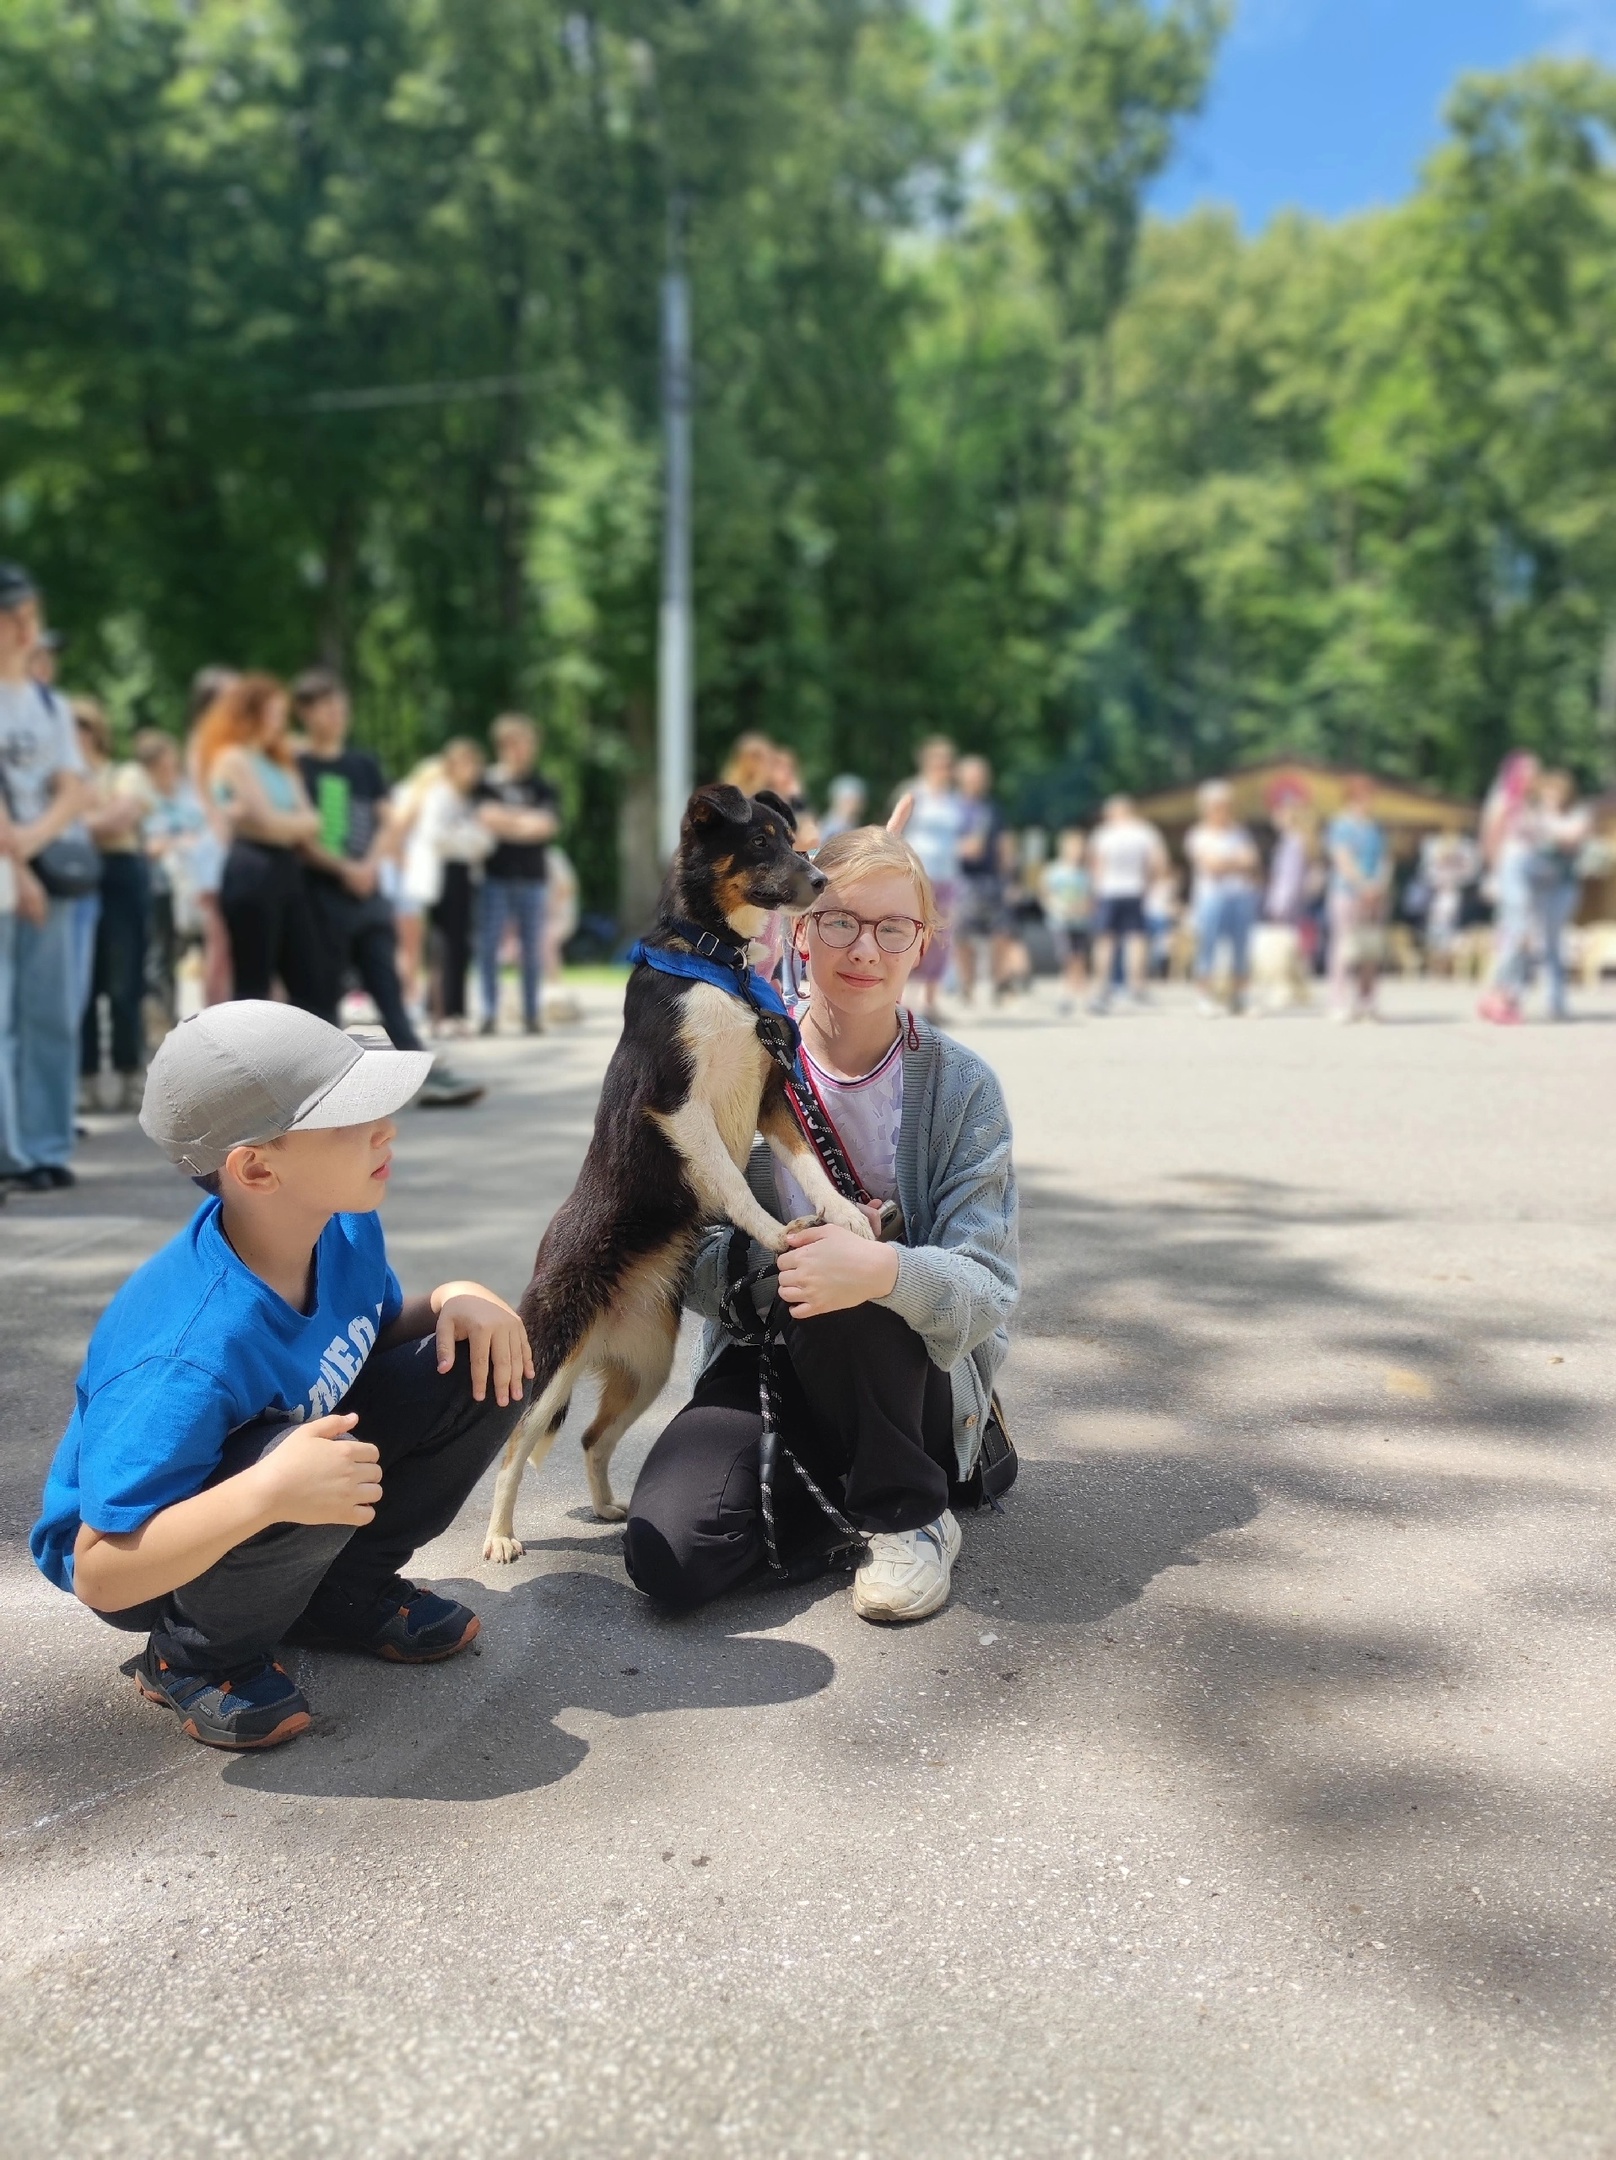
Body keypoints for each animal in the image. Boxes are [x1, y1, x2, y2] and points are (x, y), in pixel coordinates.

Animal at [483, 786, 872, 1563]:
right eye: (761, 843)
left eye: (792, 839)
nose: (821, 882)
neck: (721, 966)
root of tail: (599, 1327)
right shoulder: (679, 1106)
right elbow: (731, 1182)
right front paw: (777, 1236)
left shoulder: (772, 1094)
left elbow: (812, 1166)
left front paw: (843, 1212)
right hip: (550, 1360)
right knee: (514, 1448)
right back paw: (501, 1537)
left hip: (647, 1367)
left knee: (593, 1437)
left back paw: (607, 1506)